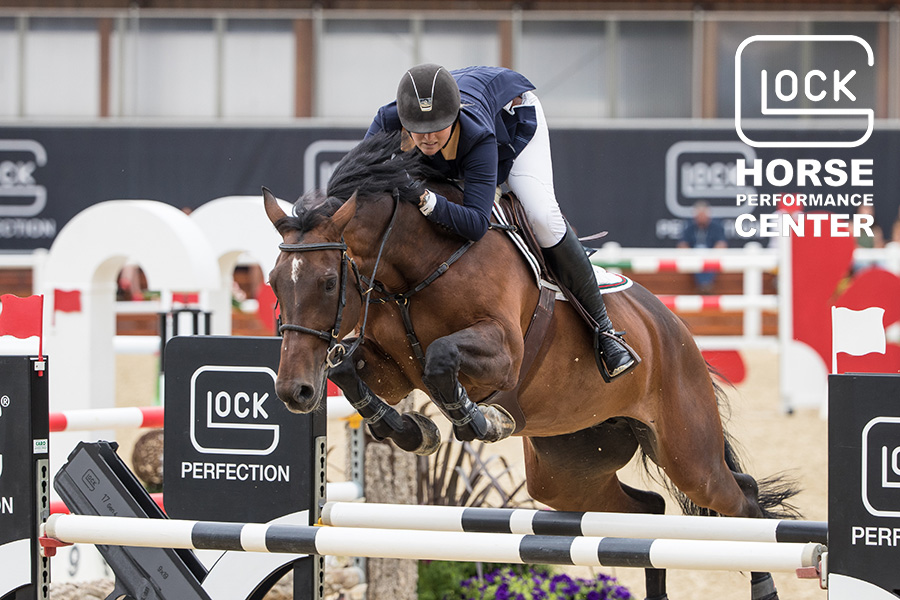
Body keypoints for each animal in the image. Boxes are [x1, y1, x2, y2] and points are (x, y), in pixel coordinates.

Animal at [264, 132, 800, 600]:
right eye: (273, 280)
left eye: (328, 282)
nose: (294, 392)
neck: (416, 265)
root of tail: (674, 328)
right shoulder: (392, 368)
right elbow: (346, 369)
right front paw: (414, 431)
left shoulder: (501, 353)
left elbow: (440, 360)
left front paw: (479, 421)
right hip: (569, 468)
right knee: (646, 512)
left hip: (688, 453)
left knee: (741, 502)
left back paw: (764, 586)